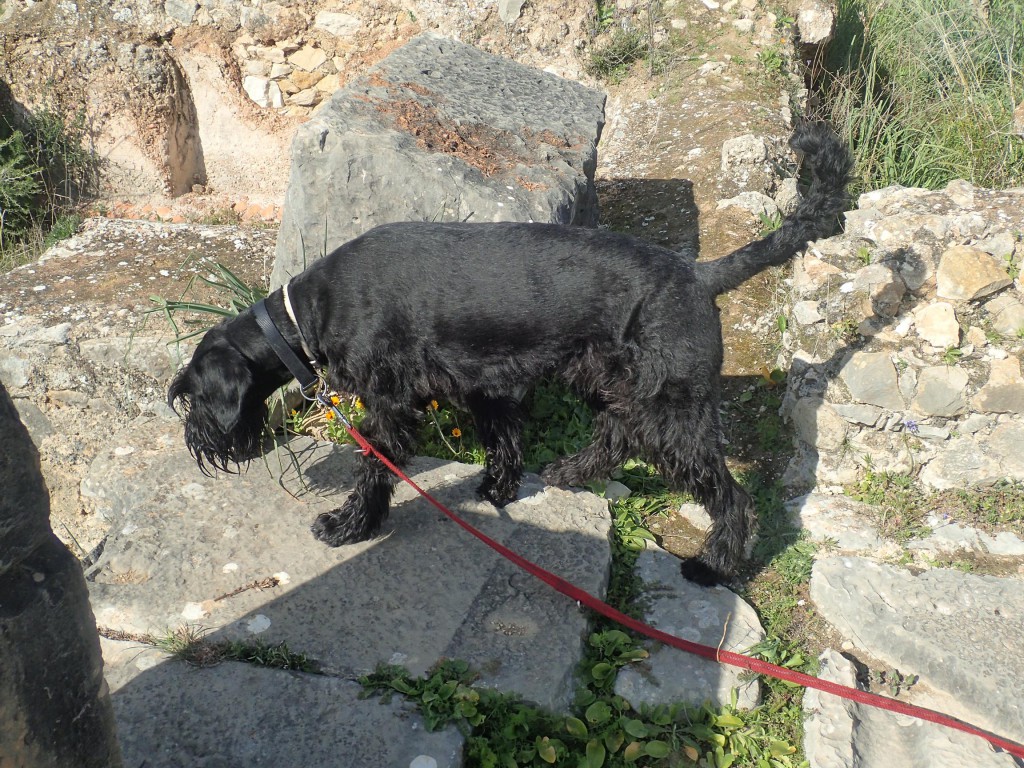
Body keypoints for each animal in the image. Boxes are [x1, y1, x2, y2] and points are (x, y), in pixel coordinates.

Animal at [167, 124, 851, 581]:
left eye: (193, 396)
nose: (196, 442)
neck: (306, 312)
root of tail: (700, 275)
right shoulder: (484, 383)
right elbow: (503, 438)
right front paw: (498, 490)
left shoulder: (389, 405)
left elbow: (376, 467)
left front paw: (348, 525)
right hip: (616, 383)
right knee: (616, 435)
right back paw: (568, 472)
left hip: (673, 412)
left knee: (728, 494)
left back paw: (715, 564)